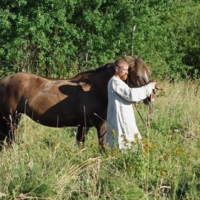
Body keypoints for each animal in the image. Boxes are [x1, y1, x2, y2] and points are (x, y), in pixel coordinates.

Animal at [0, 55, 150, 149]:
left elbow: (102, 146)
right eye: (137, 75)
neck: (95, 89)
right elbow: (81, 146)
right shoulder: (84, 125)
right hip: (11, 119)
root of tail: (3, 81)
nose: (150, 97)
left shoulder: (100, 124)